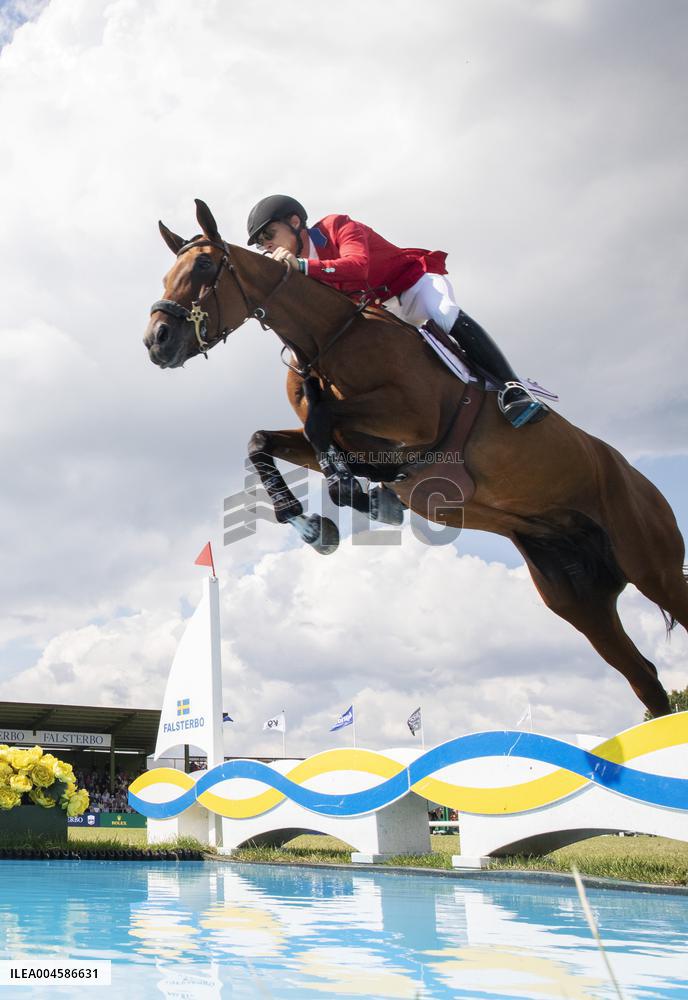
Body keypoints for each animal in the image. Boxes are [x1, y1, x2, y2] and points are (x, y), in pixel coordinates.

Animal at [143, 199, 687, 719]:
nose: (155, 342)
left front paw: (355, 497)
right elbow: (265, 441)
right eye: (168, 275)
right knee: (643, 677)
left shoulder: (414, 417)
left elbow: (325, 428)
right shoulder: (348, 436)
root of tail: (630, 473)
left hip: (651, 564)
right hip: (576, 597)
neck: (327, 338)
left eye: (206, 267)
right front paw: (317, 523)